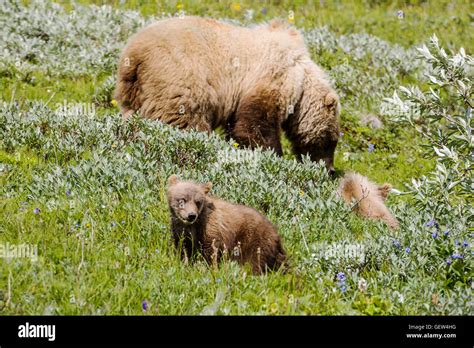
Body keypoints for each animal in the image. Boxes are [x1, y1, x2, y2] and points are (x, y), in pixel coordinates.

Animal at [113, 16, 338, 174]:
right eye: (331, 141)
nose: (330, 170)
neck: (301, 80)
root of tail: (134, 56)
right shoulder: (271, 77)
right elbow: (256, 125)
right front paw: (272, 156)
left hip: (134, 94)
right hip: (180, 80)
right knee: (188, 121)